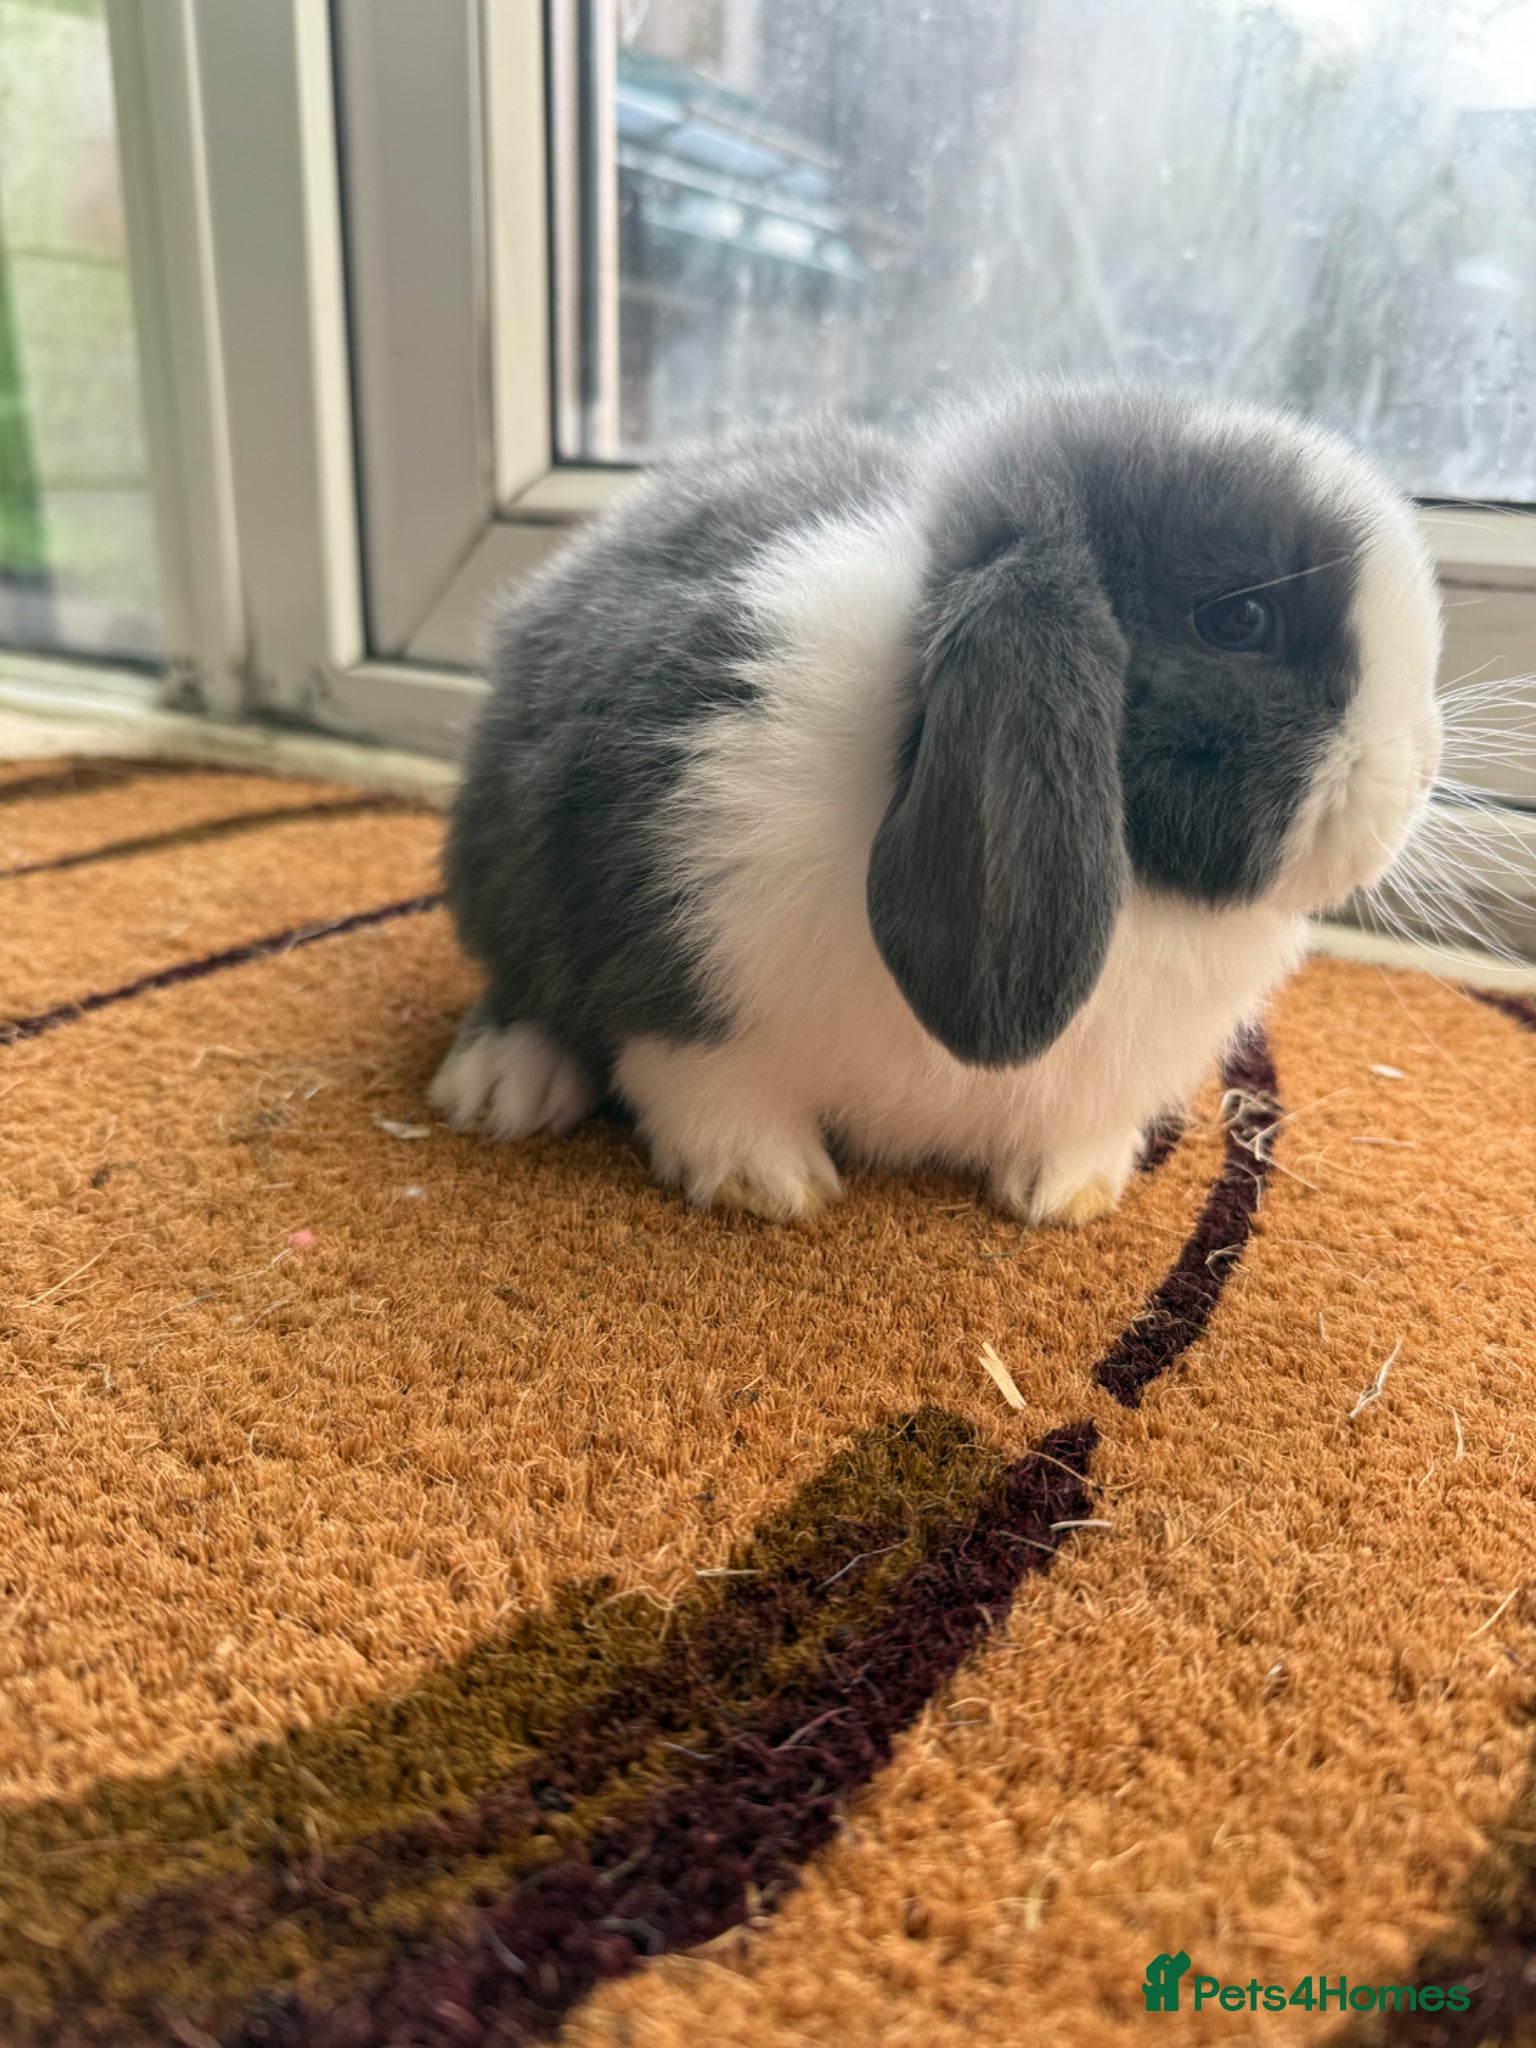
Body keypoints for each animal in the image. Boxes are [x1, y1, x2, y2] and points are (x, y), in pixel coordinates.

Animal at [430, 383, 1442, 1225]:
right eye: (1240, 620)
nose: (1424, 765)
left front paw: (1071, 1196)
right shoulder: (671, 963)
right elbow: (705, 1086)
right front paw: (771, 1184)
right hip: (505, 857)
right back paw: (502, 1090)